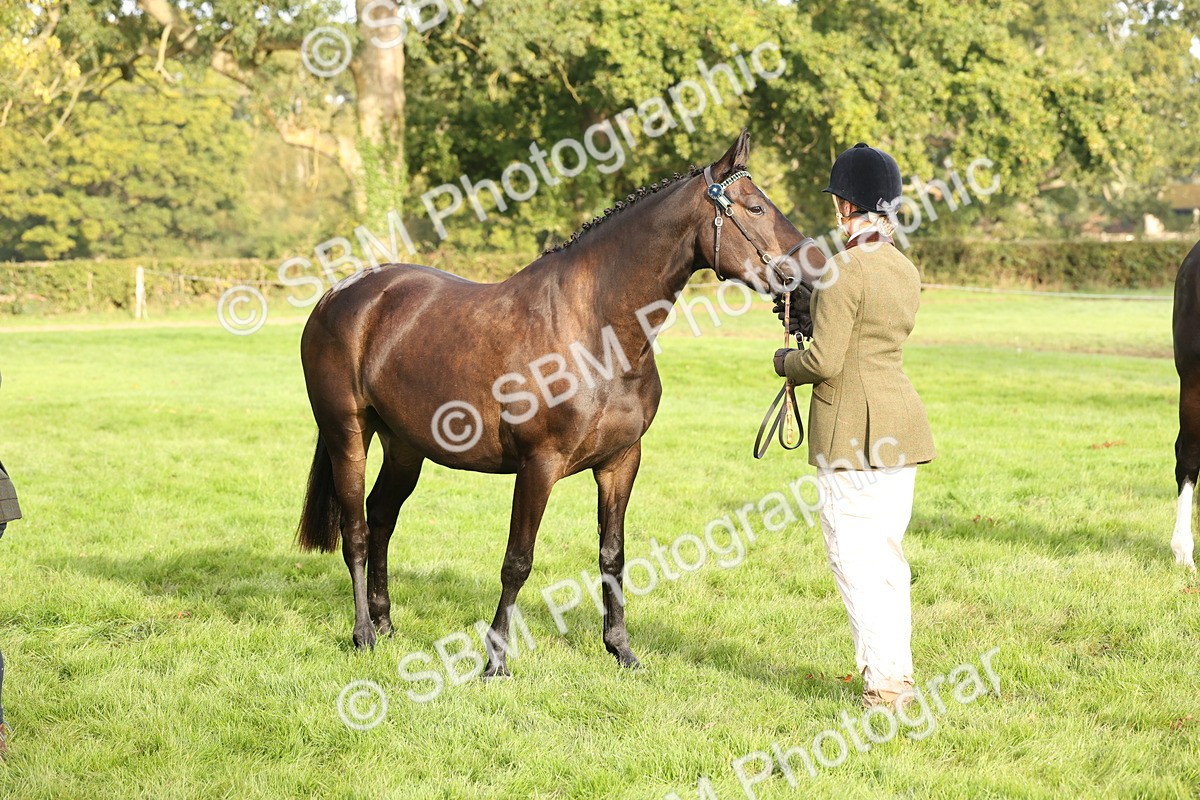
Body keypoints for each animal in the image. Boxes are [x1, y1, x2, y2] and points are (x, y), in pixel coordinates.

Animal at [296, 130, 825, 675]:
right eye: (757, 207)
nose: (814, 278)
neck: (596, 333)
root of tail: (339, 294)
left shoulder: (620, 462)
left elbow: (613, 556)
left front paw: (621, 648)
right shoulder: (539, 465)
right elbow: (517, 561)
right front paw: (495, 662)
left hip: (405, 447)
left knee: (381, 517)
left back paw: (385, 623)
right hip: (347, 435)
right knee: (357, 530)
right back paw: (363, 633)